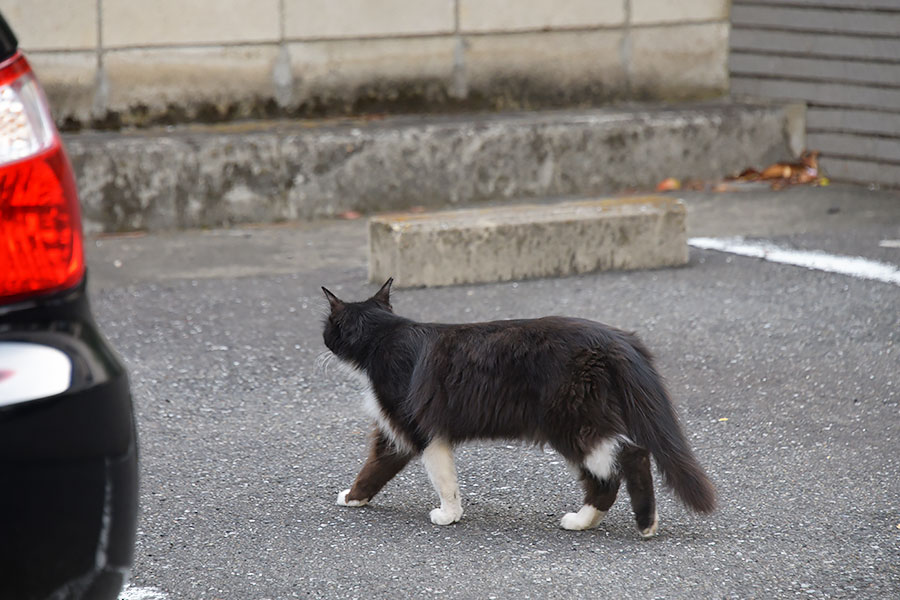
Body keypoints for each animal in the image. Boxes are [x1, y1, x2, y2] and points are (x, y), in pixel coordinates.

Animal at [320, 278, 712, 536]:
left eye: (328, 328)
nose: (323, 340)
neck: (385, 336)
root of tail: (616, 338)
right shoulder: (395, 432)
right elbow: (376, 466)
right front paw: (355, 497)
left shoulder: (418, 427)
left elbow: (443, 477)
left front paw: (449, 514)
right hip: (585, 417)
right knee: (621, 462)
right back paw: (601, 521)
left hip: (570, 422)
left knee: (626, 458)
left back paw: (628, 523)